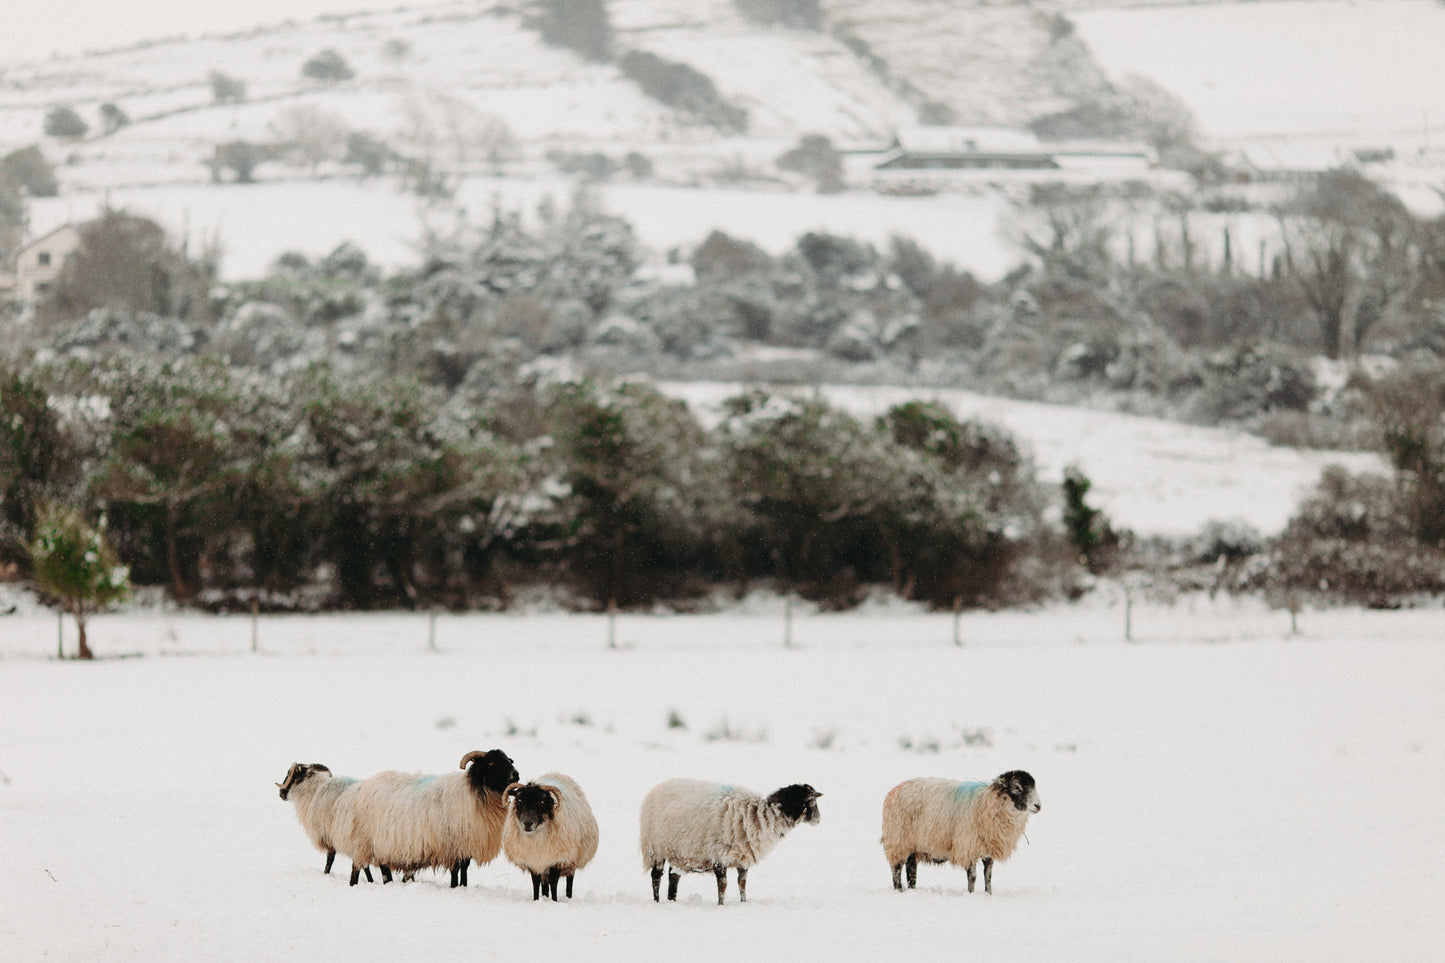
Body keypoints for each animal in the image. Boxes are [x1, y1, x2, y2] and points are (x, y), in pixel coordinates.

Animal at [344, 748, 519, 888]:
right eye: (491, 763)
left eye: (508, 760)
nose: (516, 775)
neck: (475, 793)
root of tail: (363, 787)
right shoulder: (452, 845)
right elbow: (455, 871)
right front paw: (454, 887)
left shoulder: (464, 846)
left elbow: (464, 869)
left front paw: (463, 887)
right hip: (364, 840)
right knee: (356, 867)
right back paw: (353, 885)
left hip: (382, 844)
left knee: (384, 868)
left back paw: (388, 883)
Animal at [501, 773, 600, 901]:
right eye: (519, 800)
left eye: (541, 802)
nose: (527, 823)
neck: (536, 838)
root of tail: (557, 774)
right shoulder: (534, 862)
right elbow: (536, 882)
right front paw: (536, 900)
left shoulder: (557, 861)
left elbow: (554, 883)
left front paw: (554, 901)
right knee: (544, 884)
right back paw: (545, 896)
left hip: (572, 860)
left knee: (569, 881)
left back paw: (568, 897)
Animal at [639, 778, 822, 905]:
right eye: (811, 802)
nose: (819, 820)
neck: (760, 815)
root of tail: (657, 788)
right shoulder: (719, 857)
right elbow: (723, 885)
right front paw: (721, 905)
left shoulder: (743, 858)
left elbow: (742, 883)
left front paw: (743, 903)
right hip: (655, 848)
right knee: (656, 877)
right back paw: (657, 901)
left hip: (680, 852)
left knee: (673, 876)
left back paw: (672, 900)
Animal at [881, 770, 1041, 895]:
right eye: (1017, 786)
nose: (1038, 806)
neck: (986, 803)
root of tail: (894, 790)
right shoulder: (968, 846)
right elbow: (973, 876)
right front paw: (971, 893)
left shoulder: (988, 848)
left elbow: (988, 875)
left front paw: (988, 894)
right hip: (898, 840)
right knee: (896, 870)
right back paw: (899, 890)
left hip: (913, 846)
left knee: (911, 869)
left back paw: (912, 890)